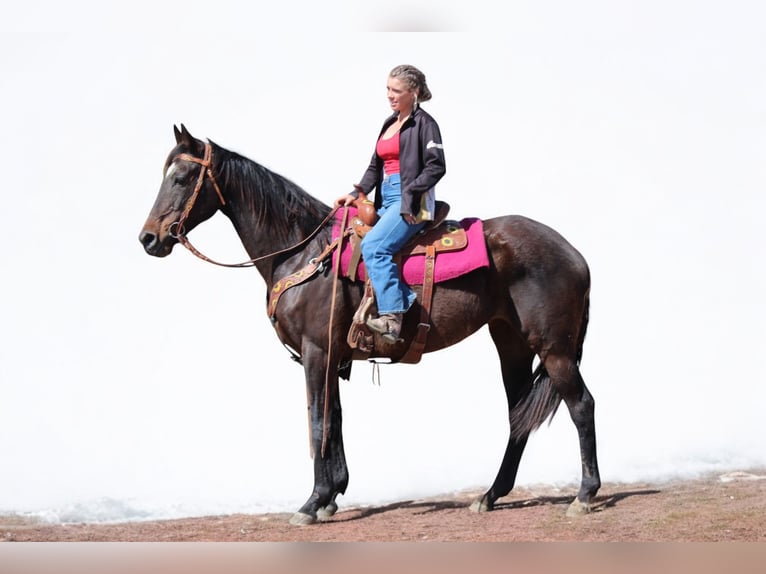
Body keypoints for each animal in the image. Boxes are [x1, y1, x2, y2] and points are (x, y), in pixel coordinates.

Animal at [139, 124, 600, 525]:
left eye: (182, 177)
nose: (148, 238)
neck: (303, 251)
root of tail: (576, 255)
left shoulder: (316, 352)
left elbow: (318, 421)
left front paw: (311, 503)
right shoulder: (332, 357)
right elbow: (336, 420)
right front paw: (331, 496)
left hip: (555, 349)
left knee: (581, 405)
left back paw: (584, 495)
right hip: (511, 344)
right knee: (517, 415)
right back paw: (490, 495)